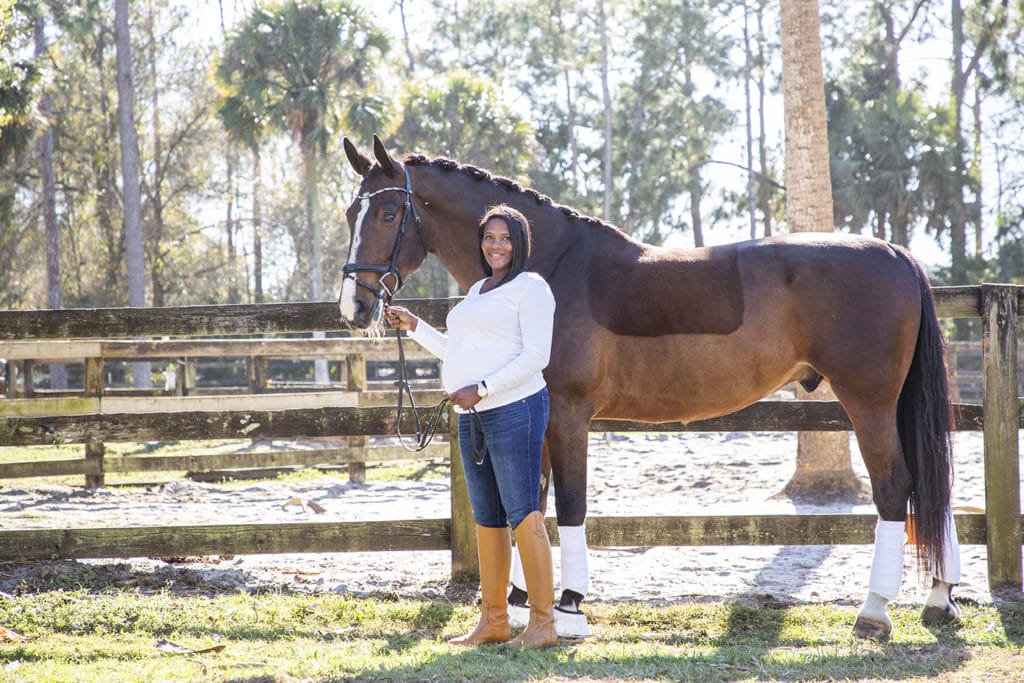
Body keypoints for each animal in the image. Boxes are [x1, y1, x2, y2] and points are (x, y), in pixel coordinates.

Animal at [335, 135, 958, 643]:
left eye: (388, 212)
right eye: (349, 212)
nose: (355, 306)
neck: (549, 265)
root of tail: (897, 253)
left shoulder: (568, 413)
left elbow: (570, 504)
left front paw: (570, 607)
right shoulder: (536, 414)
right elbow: (530, 501)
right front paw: (518, 605)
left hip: (869, 403)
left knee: (895, 488)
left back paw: (874, 611)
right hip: (894, 405)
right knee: (931, 487)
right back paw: (938, 598)